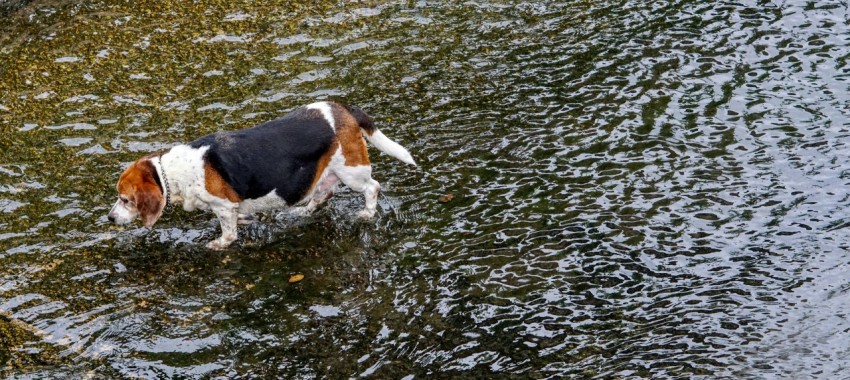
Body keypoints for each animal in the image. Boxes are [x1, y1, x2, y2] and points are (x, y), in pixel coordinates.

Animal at [106, 101, 418, 249]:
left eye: (125, 199)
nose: (109, 218)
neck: (171, 173)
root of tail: (343, 109)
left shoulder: (223, 206)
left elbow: (228, 232)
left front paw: (219, 244)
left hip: (351, 171)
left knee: (372, 187)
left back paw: (366, 213)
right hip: (323, 174)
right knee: (322, 195)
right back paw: (301, 212)